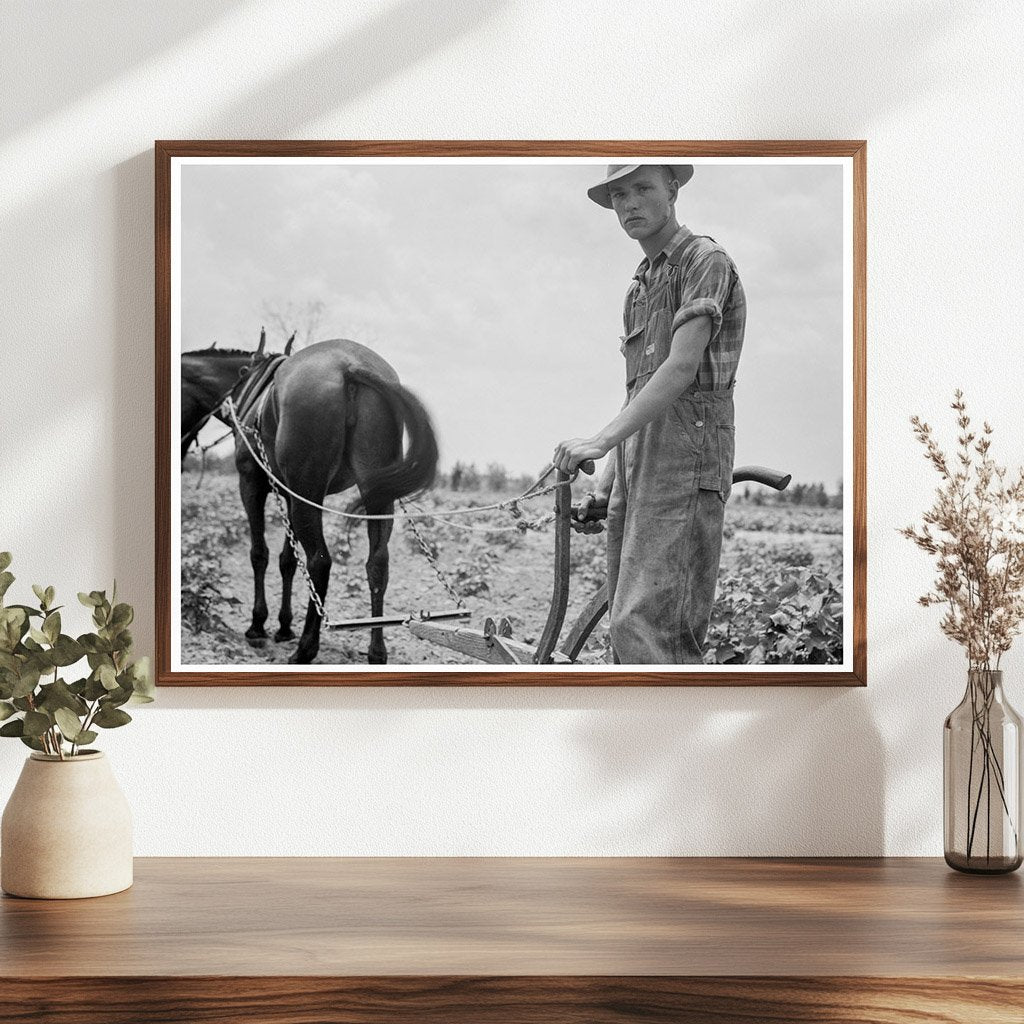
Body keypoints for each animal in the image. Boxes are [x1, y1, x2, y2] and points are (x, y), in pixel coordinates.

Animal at [180, 339, 436, 667]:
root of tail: (351, 365)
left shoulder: (252, 484)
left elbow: (260, 554)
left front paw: (258, 625)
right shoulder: (289, 494)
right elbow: (288, 560)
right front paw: (283, 626)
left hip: (309, 489)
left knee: (320, 561)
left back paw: (306, 648)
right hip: (374, 492)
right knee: (377, 564)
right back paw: (376, 651)